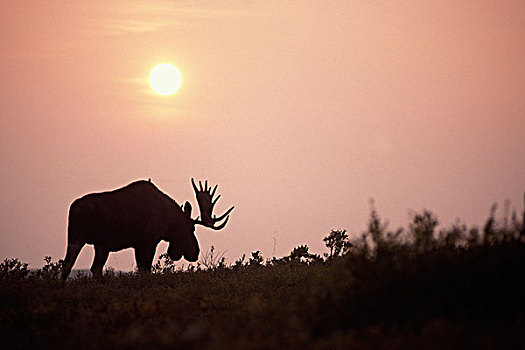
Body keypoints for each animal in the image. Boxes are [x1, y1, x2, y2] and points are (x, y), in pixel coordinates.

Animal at [61, 179, 233, 280]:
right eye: (192, 228)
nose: (195, 252)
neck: (168, 220)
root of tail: (72, 208)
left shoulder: (138, 245)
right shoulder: (148, 242)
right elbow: (146, 268)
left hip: (96, 244)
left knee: (87, 267)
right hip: (79, 239)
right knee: (71, 264)